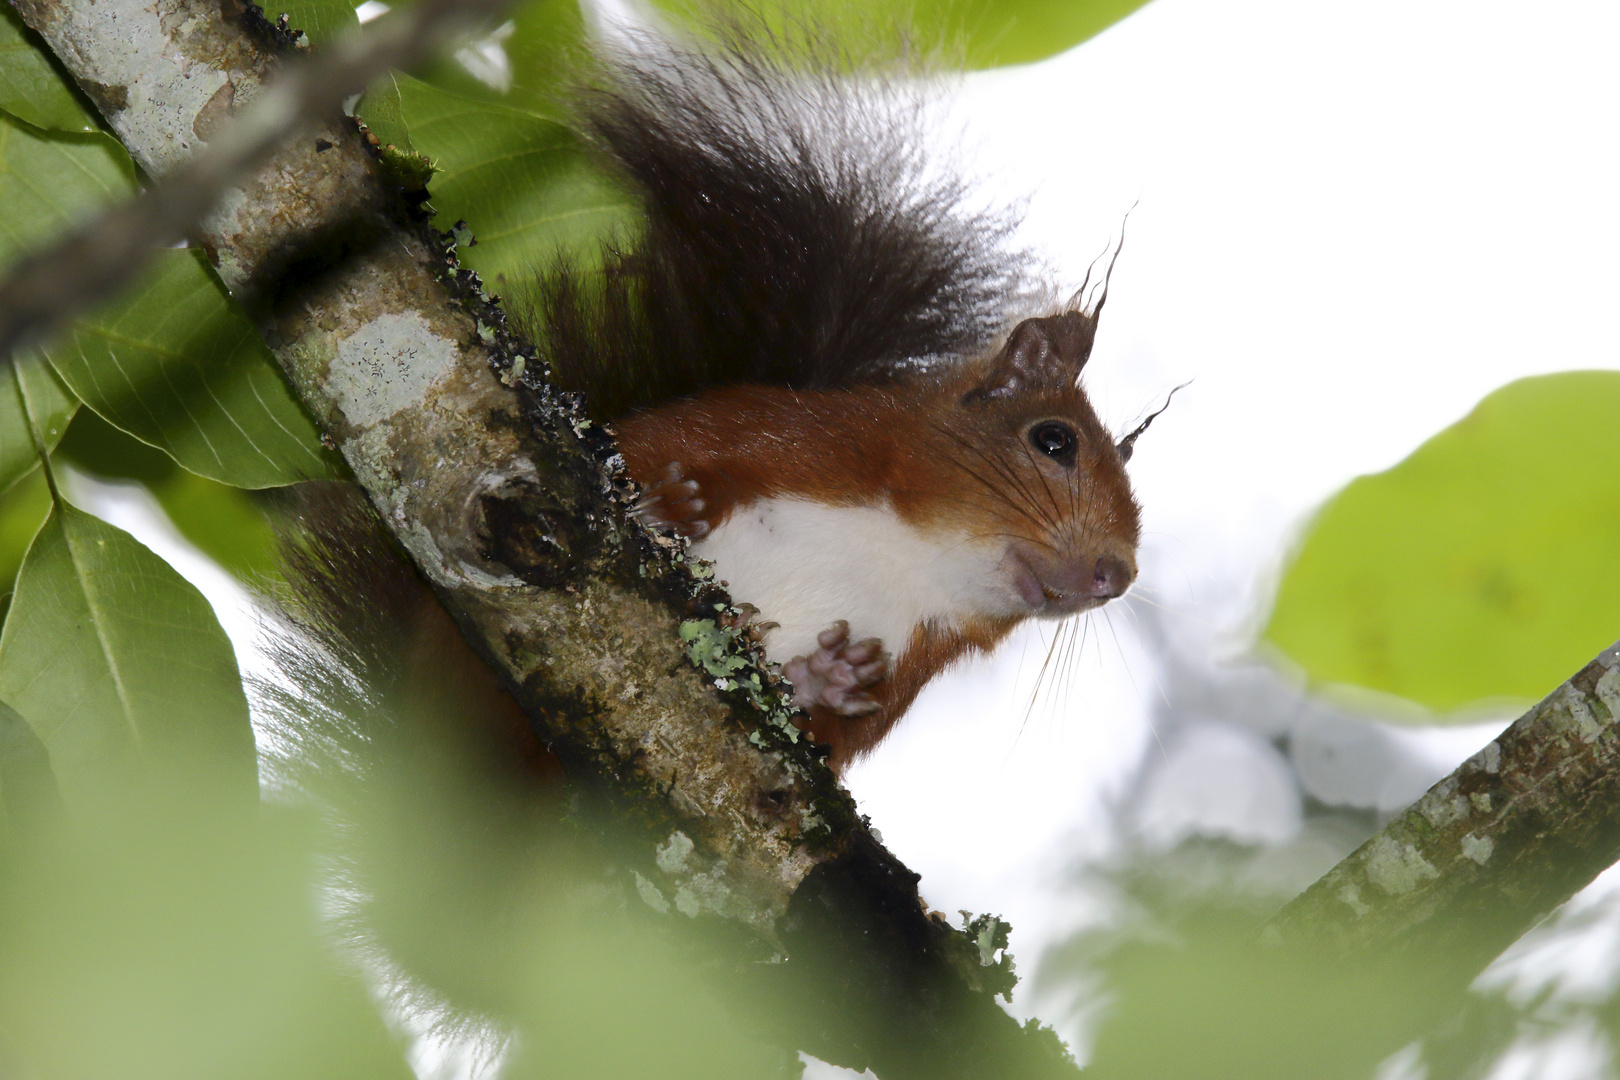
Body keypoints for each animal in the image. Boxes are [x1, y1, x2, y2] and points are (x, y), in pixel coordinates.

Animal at [524, 35, 1146, 767]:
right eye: (1054, 440)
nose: (1117, 575)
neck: (907, 553)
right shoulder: (776, 433)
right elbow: (644, 448)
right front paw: (660, 506)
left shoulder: (906, 669)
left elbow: (829, 734)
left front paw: (825, 678)